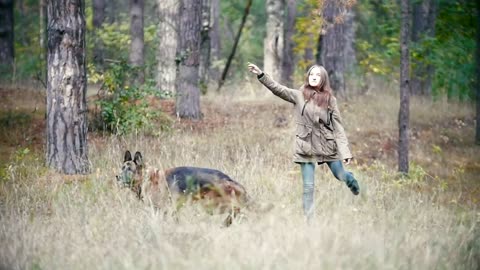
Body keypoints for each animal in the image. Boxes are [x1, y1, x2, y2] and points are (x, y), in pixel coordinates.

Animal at [117, 151, 248, 225]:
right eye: (122, 168)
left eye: (129, 169)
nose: (117, 177)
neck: (148, 178)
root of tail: (228, 179)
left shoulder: (166, 209)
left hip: (211, 206)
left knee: (236, 210)